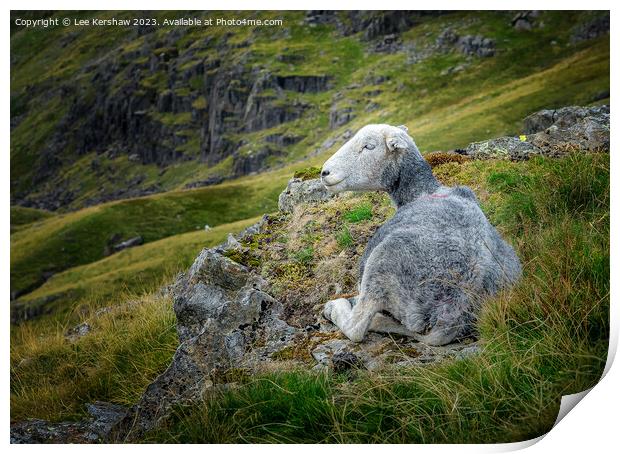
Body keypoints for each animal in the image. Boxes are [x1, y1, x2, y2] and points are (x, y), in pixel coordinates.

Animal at [322, 124, 520, 344]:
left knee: (357, 326)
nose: (324, 172)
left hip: (382, 263)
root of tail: (453, 315)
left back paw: (335, 308)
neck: (421, 191)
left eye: (369, 146)